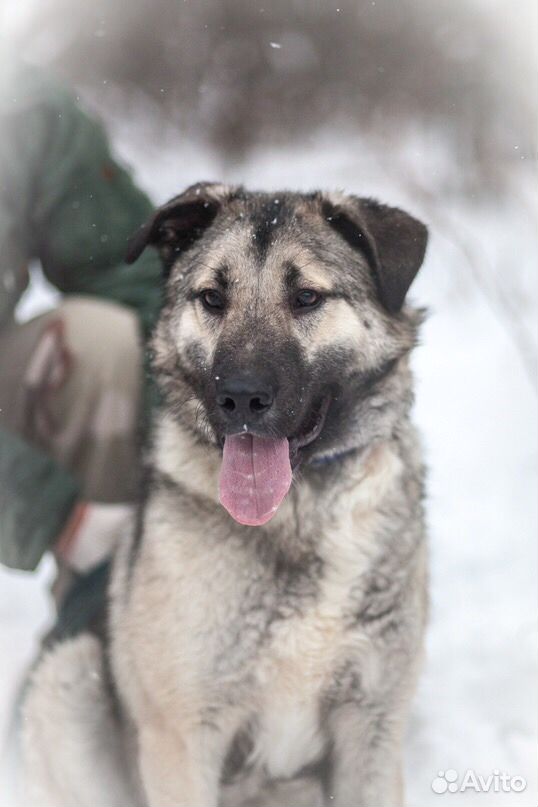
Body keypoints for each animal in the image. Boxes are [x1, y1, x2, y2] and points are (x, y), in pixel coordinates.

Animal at [19, 185, 428, 807]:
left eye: (306, 297)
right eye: (213, 297)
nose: (239, 398)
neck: (303, 513)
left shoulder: (372, 728)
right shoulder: (183, 737)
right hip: (70, 679)